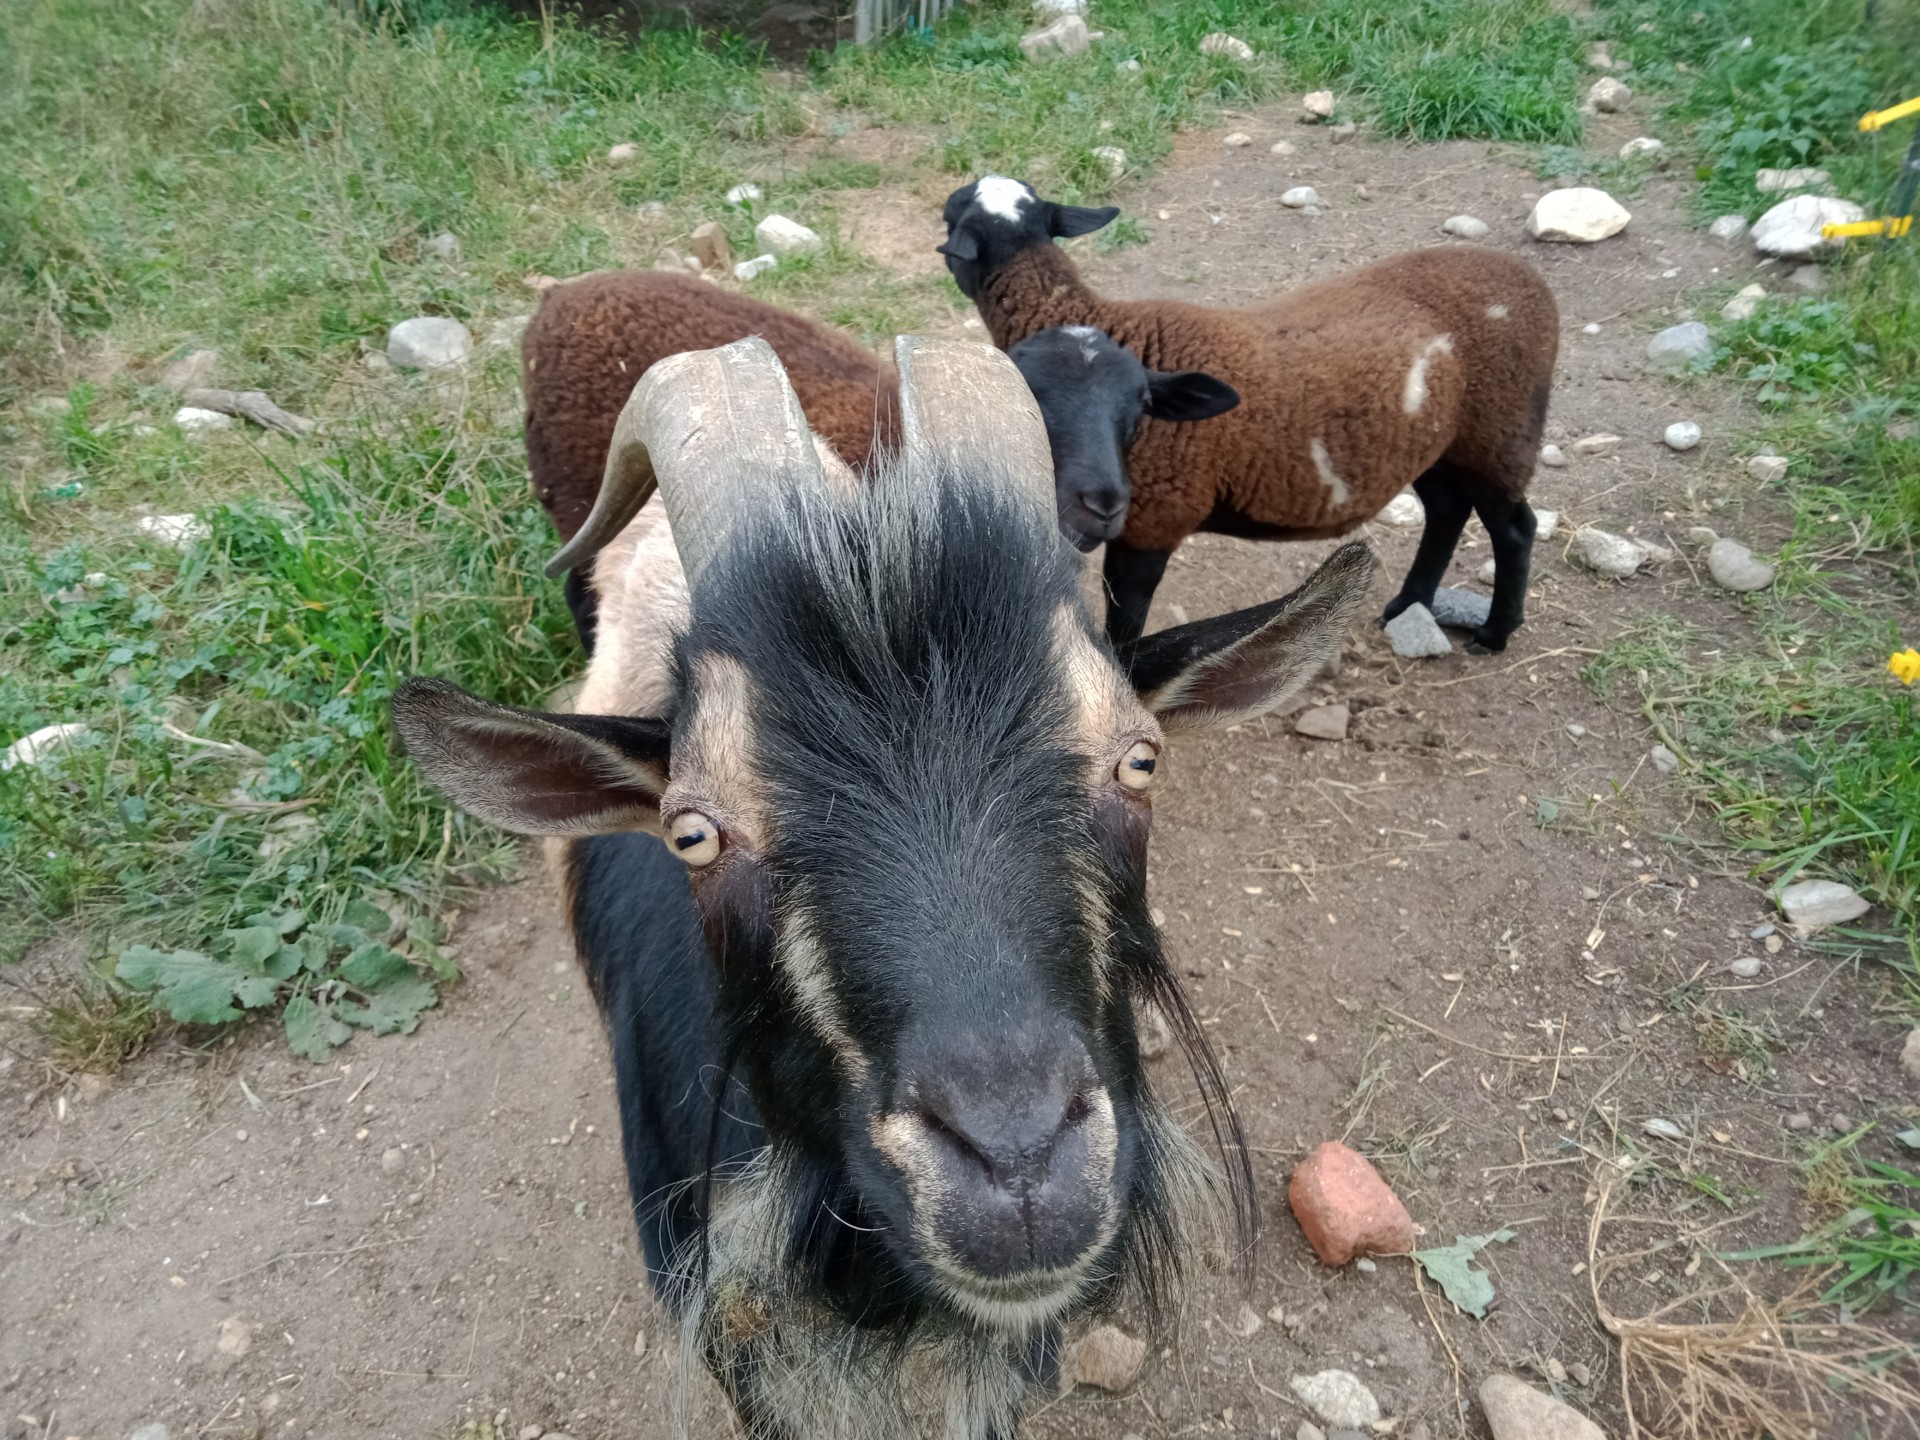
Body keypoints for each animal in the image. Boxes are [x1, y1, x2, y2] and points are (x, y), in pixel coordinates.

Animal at [940, 175, 1560, 653]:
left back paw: (1495, 633)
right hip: (1439, 441)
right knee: (1448, 511)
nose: (1104, 503)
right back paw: (1407, 606)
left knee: (1514, 529)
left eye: (1142, 407)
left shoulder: (1154, 521)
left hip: (1500, 429)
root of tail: (1529, 278)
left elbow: (1126, 629)